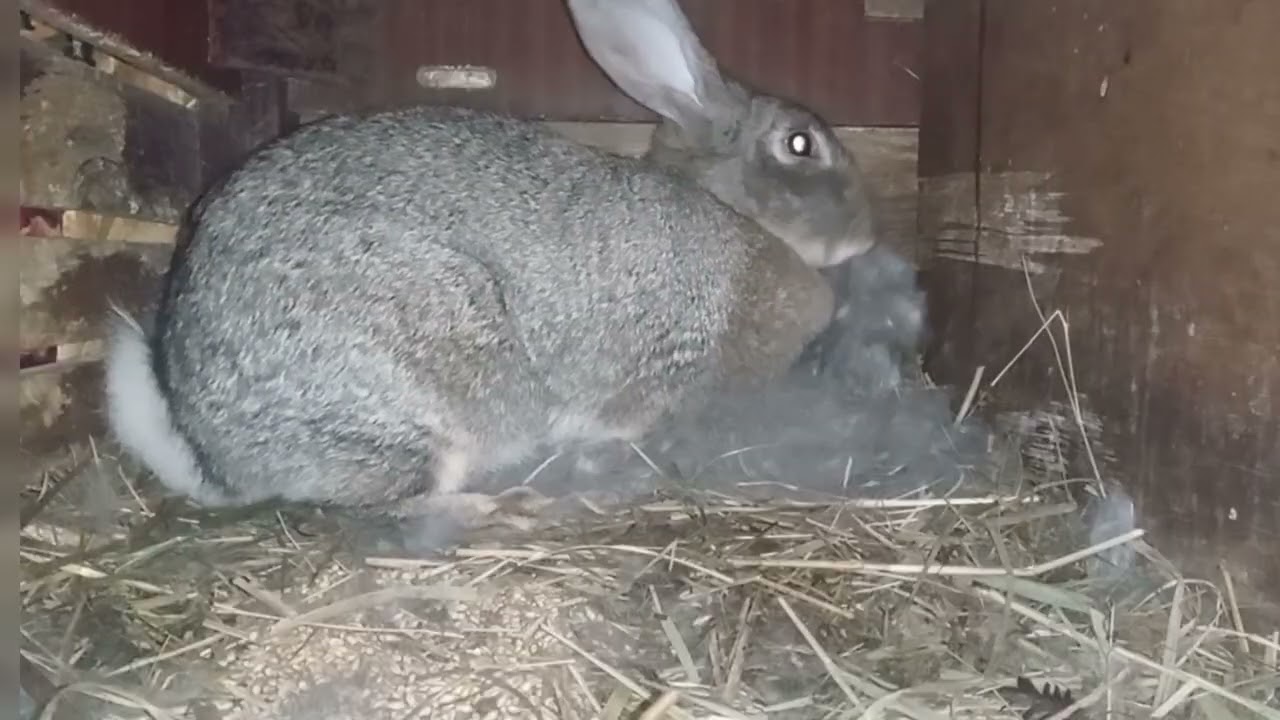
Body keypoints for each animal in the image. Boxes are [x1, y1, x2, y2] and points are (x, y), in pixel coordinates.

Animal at [102, 0, 878, 516]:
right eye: (800, 143)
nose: (868, 235)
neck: (731, 212)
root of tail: (219, 457)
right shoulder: (661, 357)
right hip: (421, 392)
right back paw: (487, 510)